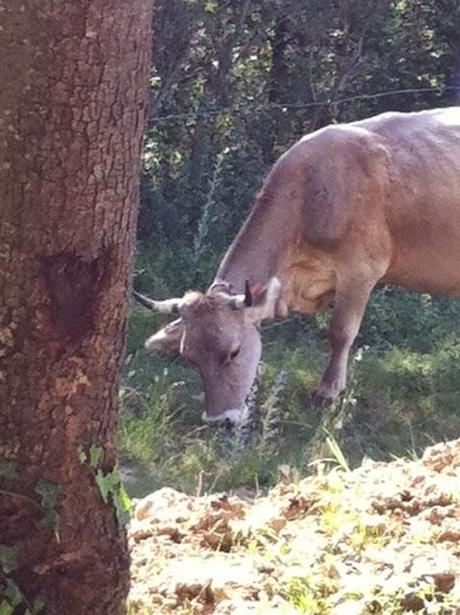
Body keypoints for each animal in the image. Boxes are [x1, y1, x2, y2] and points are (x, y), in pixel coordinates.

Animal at [135, 108, 460, 426]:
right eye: (190, 357)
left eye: (234, 352)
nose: (218, 420)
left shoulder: (361, 270)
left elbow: (341, 332)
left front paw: (328, 393)